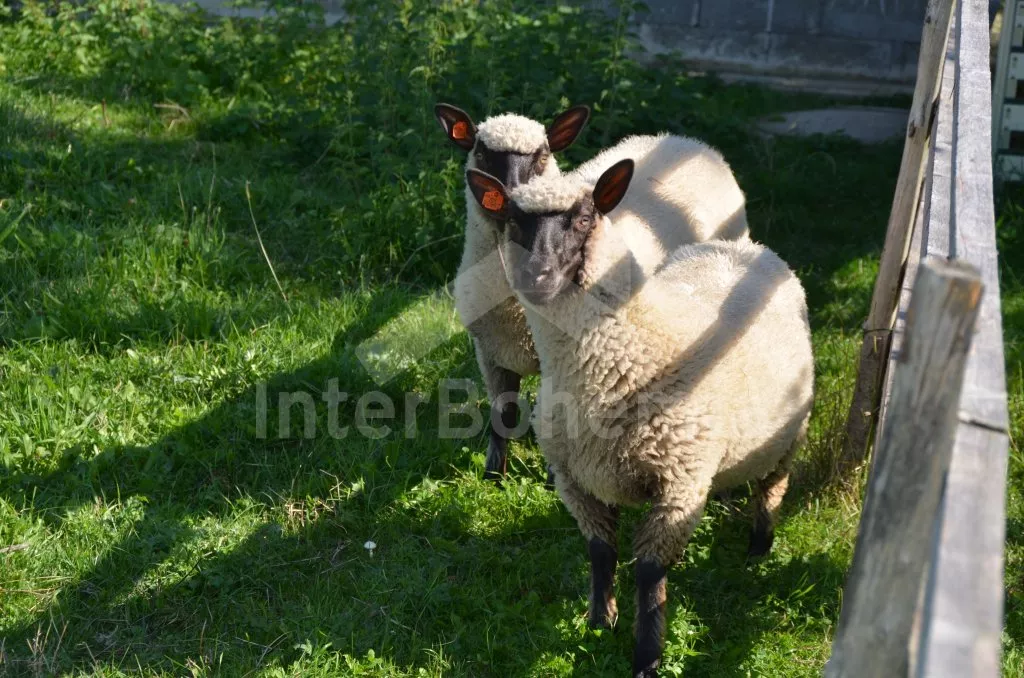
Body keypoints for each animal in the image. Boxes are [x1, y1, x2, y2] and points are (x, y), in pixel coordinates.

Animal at [435, 103, 591, 481]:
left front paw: (552, 478)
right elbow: (502, 416)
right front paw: (494, 475)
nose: (511, 196)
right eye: (481, 152)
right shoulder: (490, 353)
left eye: (543, 155)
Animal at [463, 160, 814, 677]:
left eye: (584, 218)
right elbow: (600, 552)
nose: (537, 278)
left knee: (771, 487)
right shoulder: (575, 479)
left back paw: (758, 546)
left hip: (789, 437)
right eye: (513, 220)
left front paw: (647, 656)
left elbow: (650, 574)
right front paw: (598, 623)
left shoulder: (677, 486)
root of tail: (747, 249)